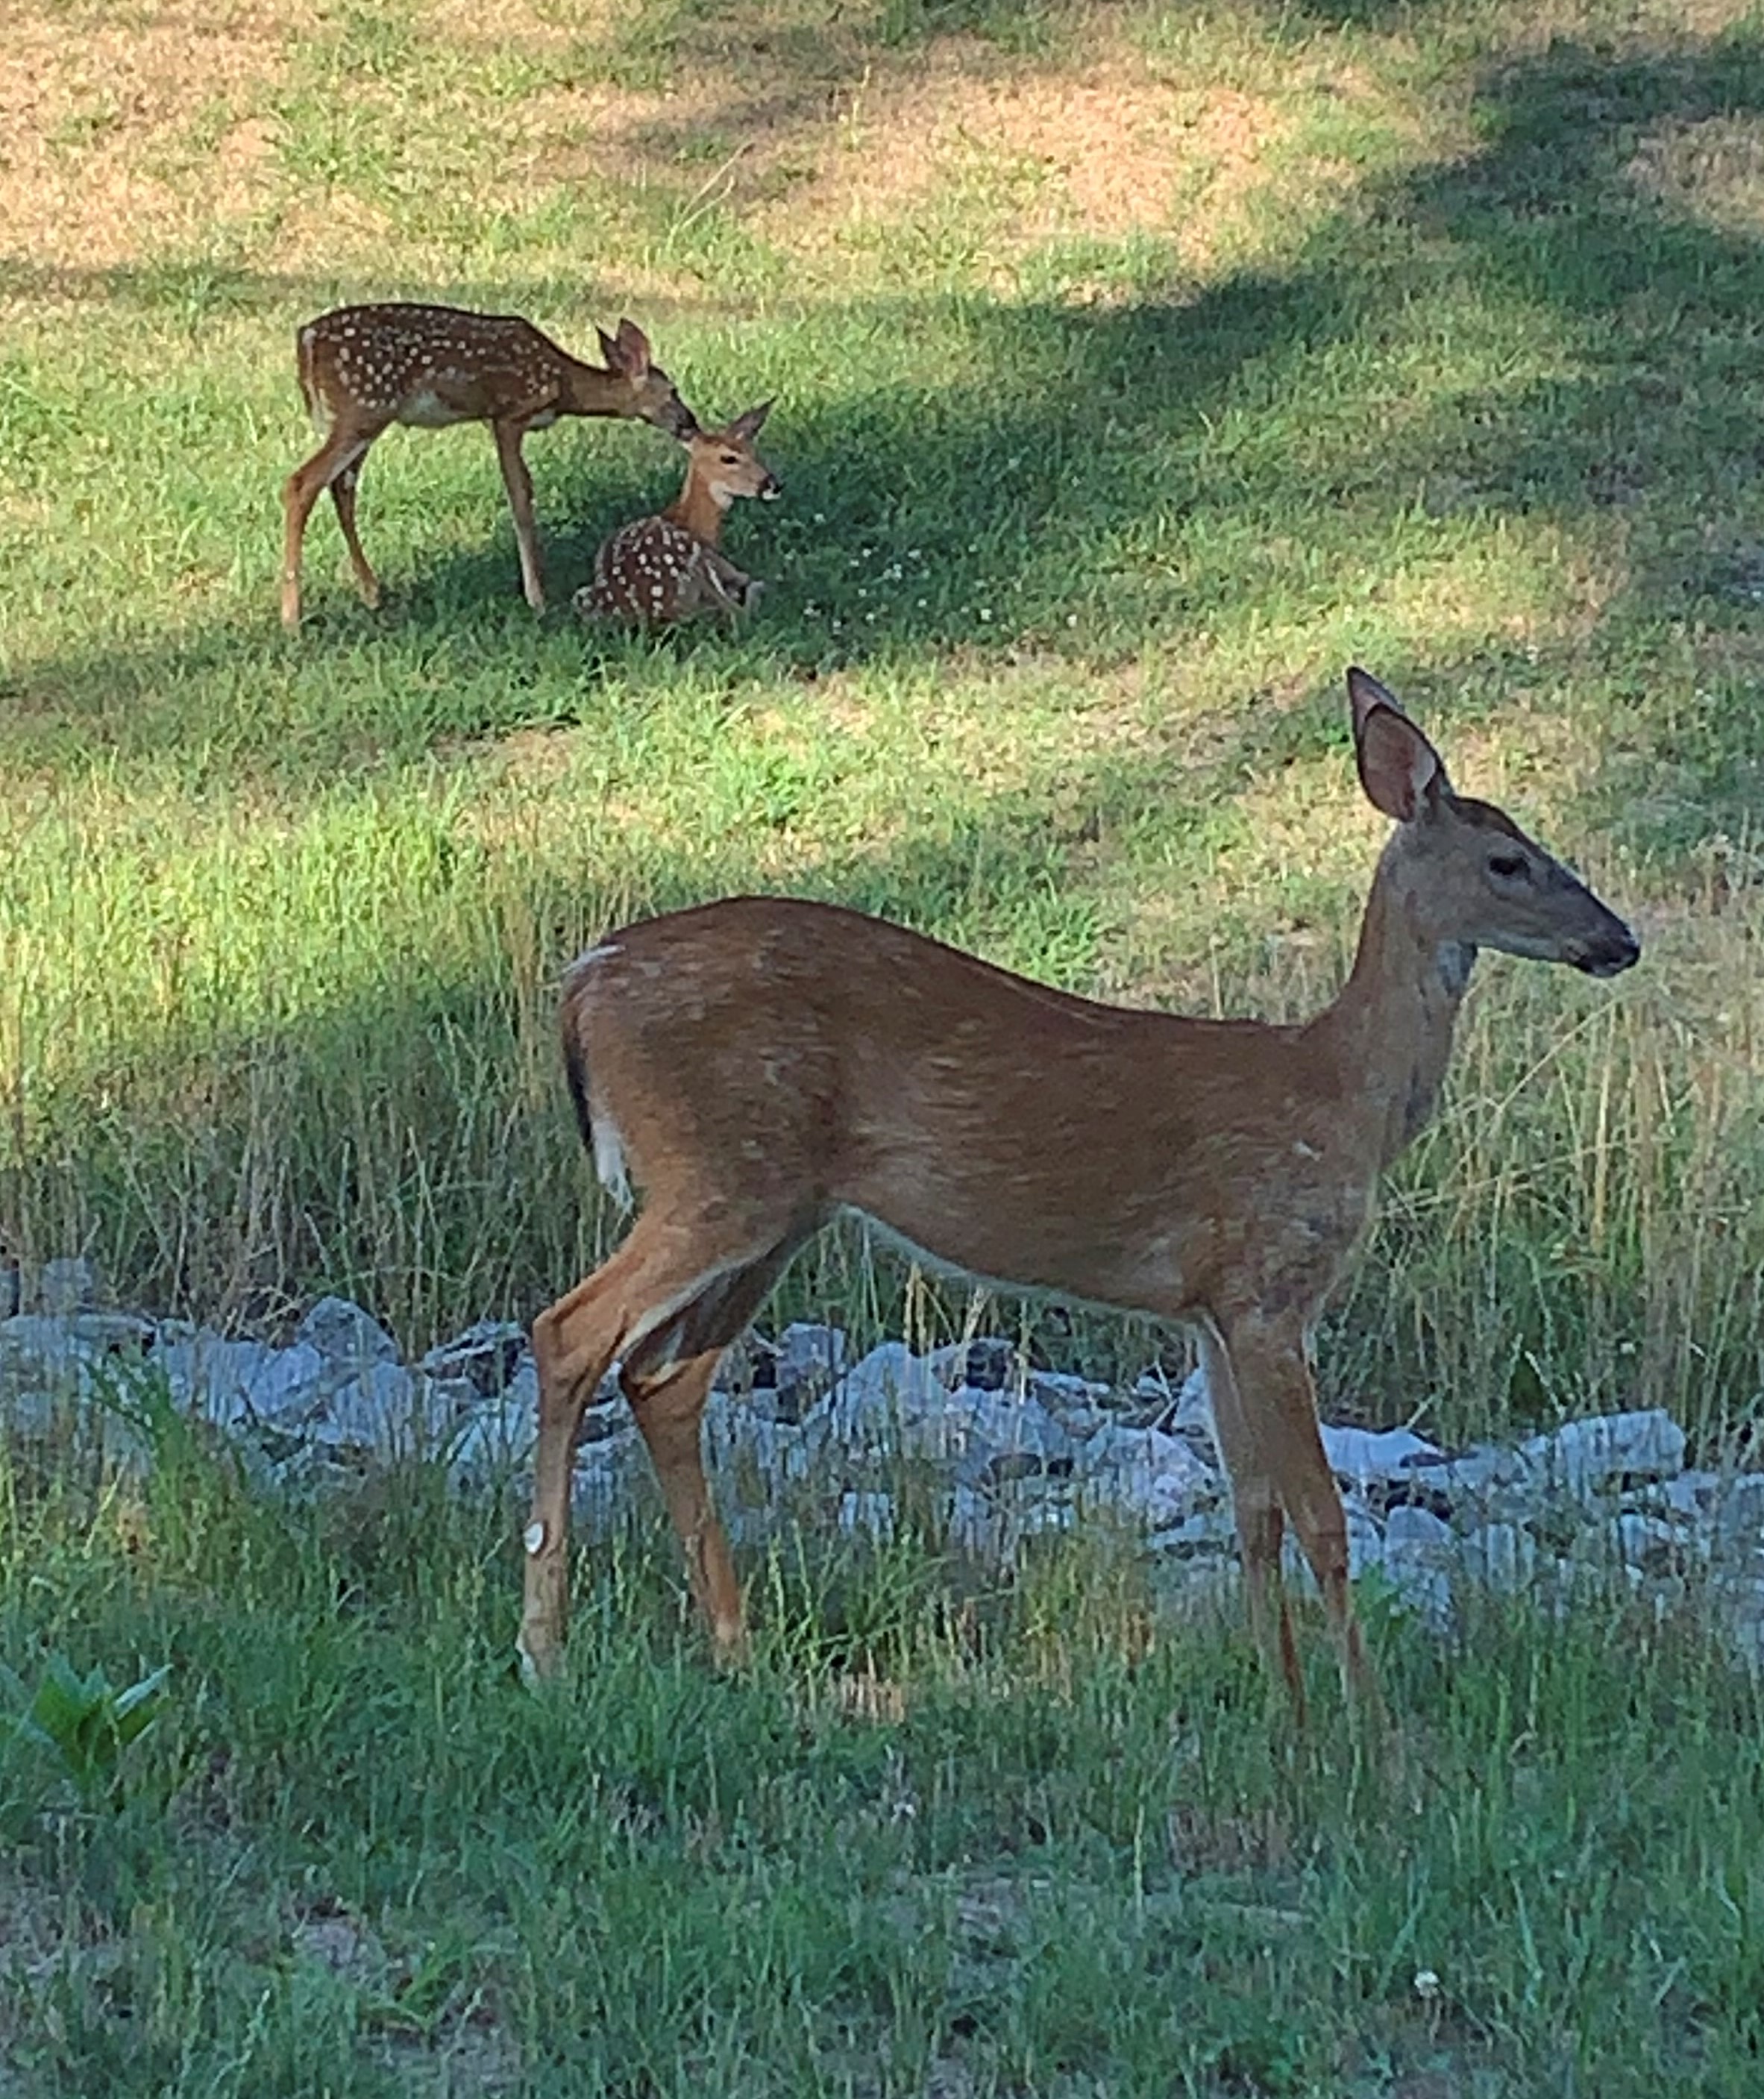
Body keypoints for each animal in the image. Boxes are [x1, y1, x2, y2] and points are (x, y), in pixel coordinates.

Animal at [279, 306, 693, 621]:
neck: (562, 385)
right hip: (362, 409)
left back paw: (371, 594)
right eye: (673, 391)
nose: (690, 422)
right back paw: (291, 618)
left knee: (340, 487)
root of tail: (306, 339)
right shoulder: (509, 414)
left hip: (358, 418)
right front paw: (537, 598)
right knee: (302, 483)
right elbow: (520, 496)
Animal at [521, 680, 1638, 1713]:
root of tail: (582, 983)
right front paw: (1371, 1731)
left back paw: (732, 1646)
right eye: (1507, 860)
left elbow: (1255, 1515)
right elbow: (1322, 1520)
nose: (1619, 940)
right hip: (716, 1175)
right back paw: (545, 1647)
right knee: (570, 1331)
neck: (1342, 1092)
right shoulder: (1270, 1286)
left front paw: (1287, 1710)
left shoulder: (1210, 1311)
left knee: (663, 1379)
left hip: (777, 1208)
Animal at [575, 395, 781, 621]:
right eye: (729, 458)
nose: (773, 484)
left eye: (754, 453)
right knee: (738, 612)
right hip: (700, 568)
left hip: (582, 596)